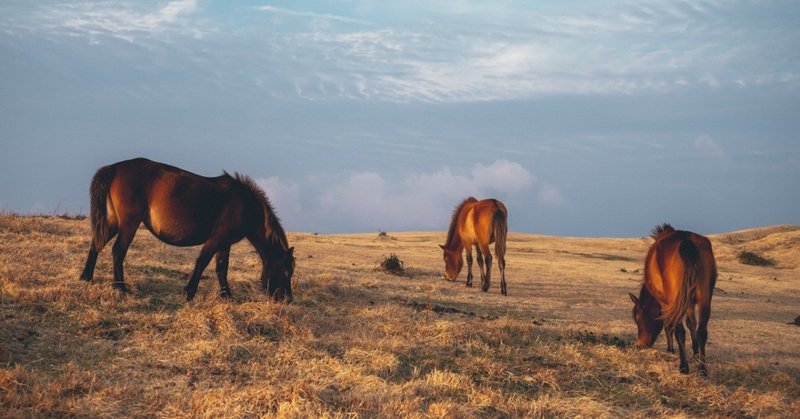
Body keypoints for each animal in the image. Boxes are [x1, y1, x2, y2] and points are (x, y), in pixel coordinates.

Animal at [78, 158, 296, 302]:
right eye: (287, 272)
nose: (287, 299)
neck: (244, 205)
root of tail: (115, 167)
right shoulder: (216, 239)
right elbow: (202, 262)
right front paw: (190, 292)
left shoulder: (225, 243)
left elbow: (221, 267)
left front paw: (227, 295)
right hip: (129, 224)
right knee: (118, 251)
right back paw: (120, 288)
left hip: (114, 222)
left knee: (97, 243)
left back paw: (87, 278)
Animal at [632, 225, 720, 376]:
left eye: (638, 319)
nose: (640, 345)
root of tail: (686, 241)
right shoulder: (689, 303)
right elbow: (691, 323)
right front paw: (695, 352)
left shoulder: (665, 303)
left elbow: (669, 325)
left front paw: (670, 349)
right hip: (704, 298)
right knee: (702, 331)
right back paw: (702, 369)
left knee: (680, 331)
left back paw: (683, 366)